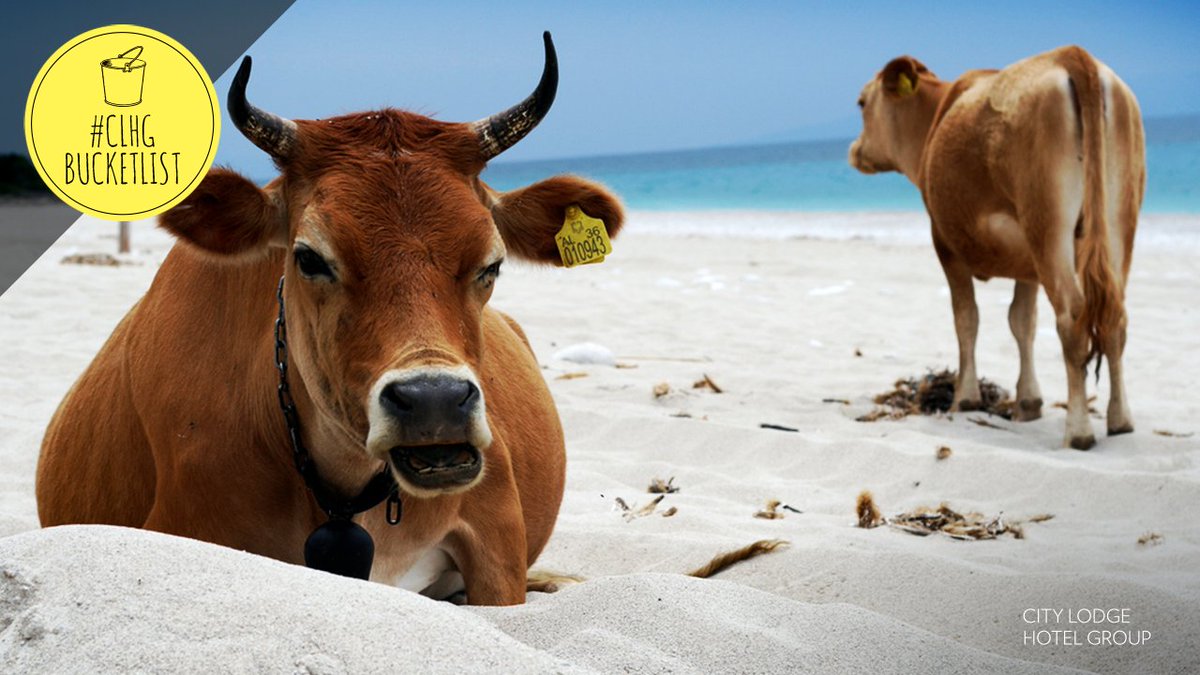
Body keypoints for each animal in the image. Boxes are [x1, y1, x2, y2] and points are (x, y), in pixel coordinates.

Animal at [849, 45, 1144, 450]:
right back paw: (1120, 420)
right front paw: (1029, 402)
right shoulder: (1028, 264)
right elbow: (1022, 321)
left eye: (862, 103)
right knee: (1115, 316)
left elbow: (966, 318)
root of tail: (1072, 55)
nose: (855, 149)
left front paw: (965, 397)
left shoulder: (945, 242)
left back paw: (1079, 431)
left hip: (1047, 226)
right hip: (1116, 222)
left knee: (1072, 317)